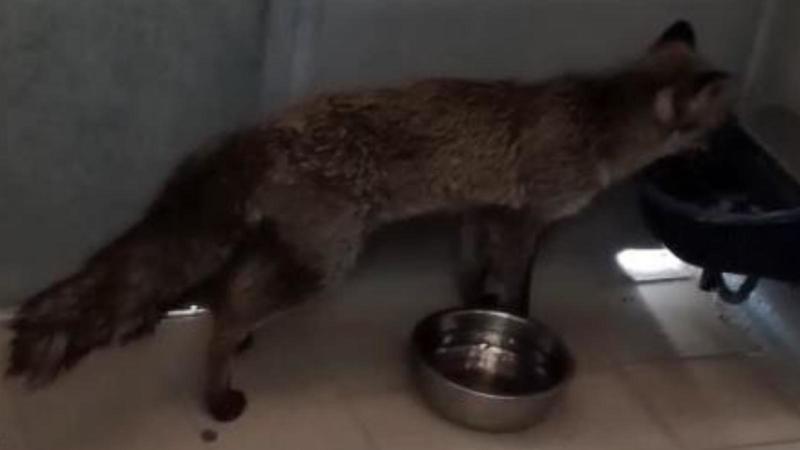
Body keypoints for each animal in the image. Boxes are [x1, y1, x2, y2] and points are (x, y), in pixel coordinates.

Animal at [7, 21, 731, 422]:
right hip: (328, 262)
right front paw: (515, 317)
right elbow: (517, 291)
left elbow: (473, 281)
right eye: (717, 128)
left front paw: (476, 311)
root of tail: (261, 130)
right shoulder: (526, 220)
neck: (597, 122)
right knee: (230, 305)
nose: (727, 151)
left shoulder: (479, 210)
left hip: (294, 249)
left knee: (221, 291)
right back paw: (220, 392)